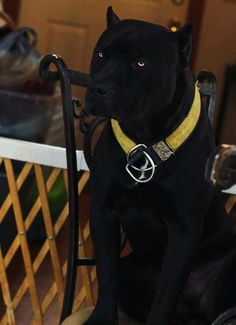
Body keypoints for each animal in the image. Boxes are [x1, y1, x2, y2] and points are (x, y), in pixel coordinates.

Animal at [84, 7, 236, 324]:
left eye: (140, 63)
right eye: (101, 55)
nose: (98, 88)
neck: (146, 142)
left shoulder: (183, 230)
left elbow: (165, 295)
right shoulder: (103, 212)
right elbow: (107, 275)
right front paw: (102, 318)